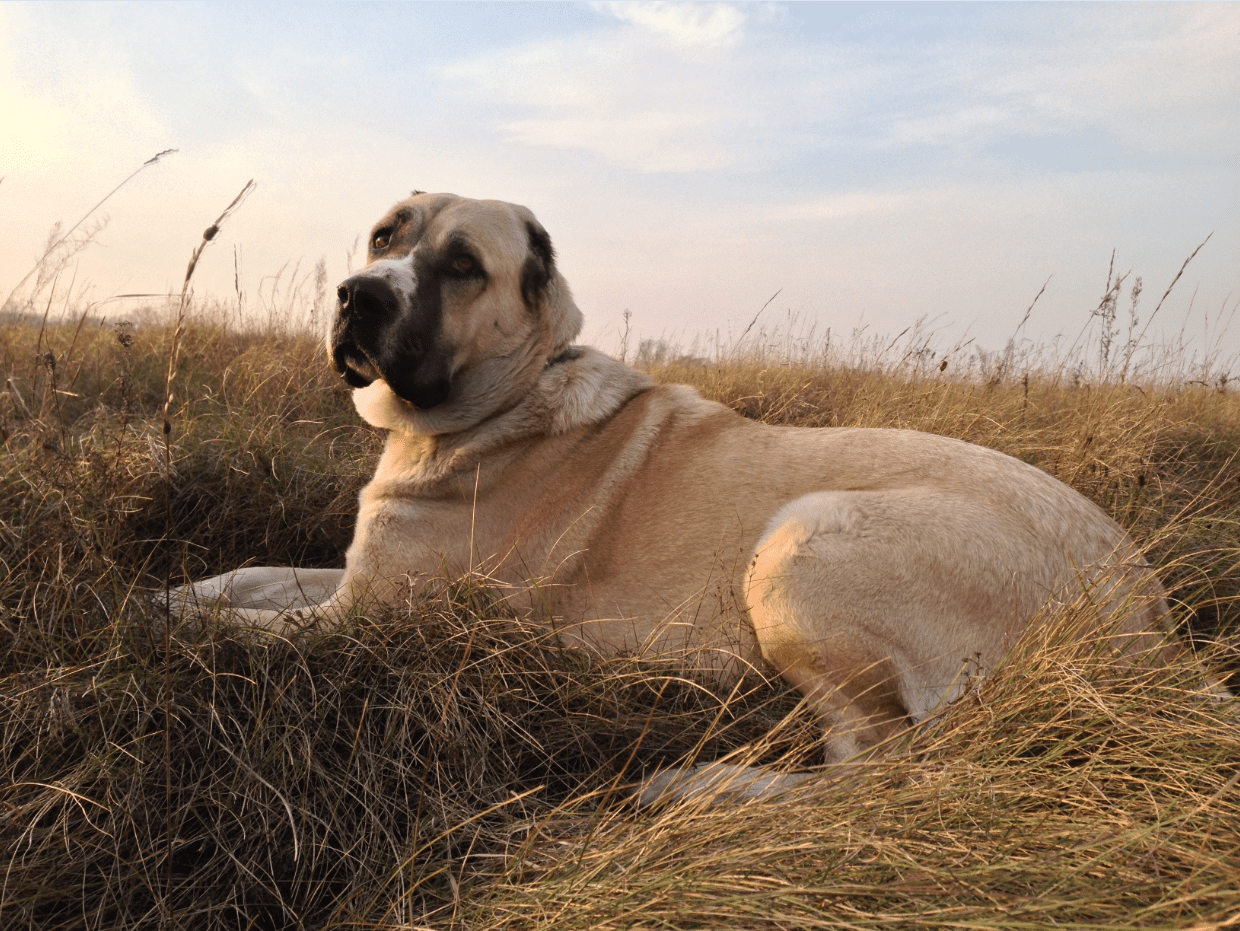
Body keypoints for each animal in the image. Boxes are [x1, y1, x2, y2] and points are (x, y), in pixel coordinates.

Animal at [174, 193, 1180, 803]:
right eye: (386, 234)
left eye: (461, 265)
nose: (357, 295)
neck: (505, 398)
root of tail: (1148, 627)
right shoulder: (351, 579)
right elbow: (248, 576)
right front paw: (178, 590)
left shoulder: (364, 618)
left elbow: (240, 626)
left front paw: (158, 619)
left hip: (799, 539)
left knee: (872, 770)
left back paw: (695, 788)